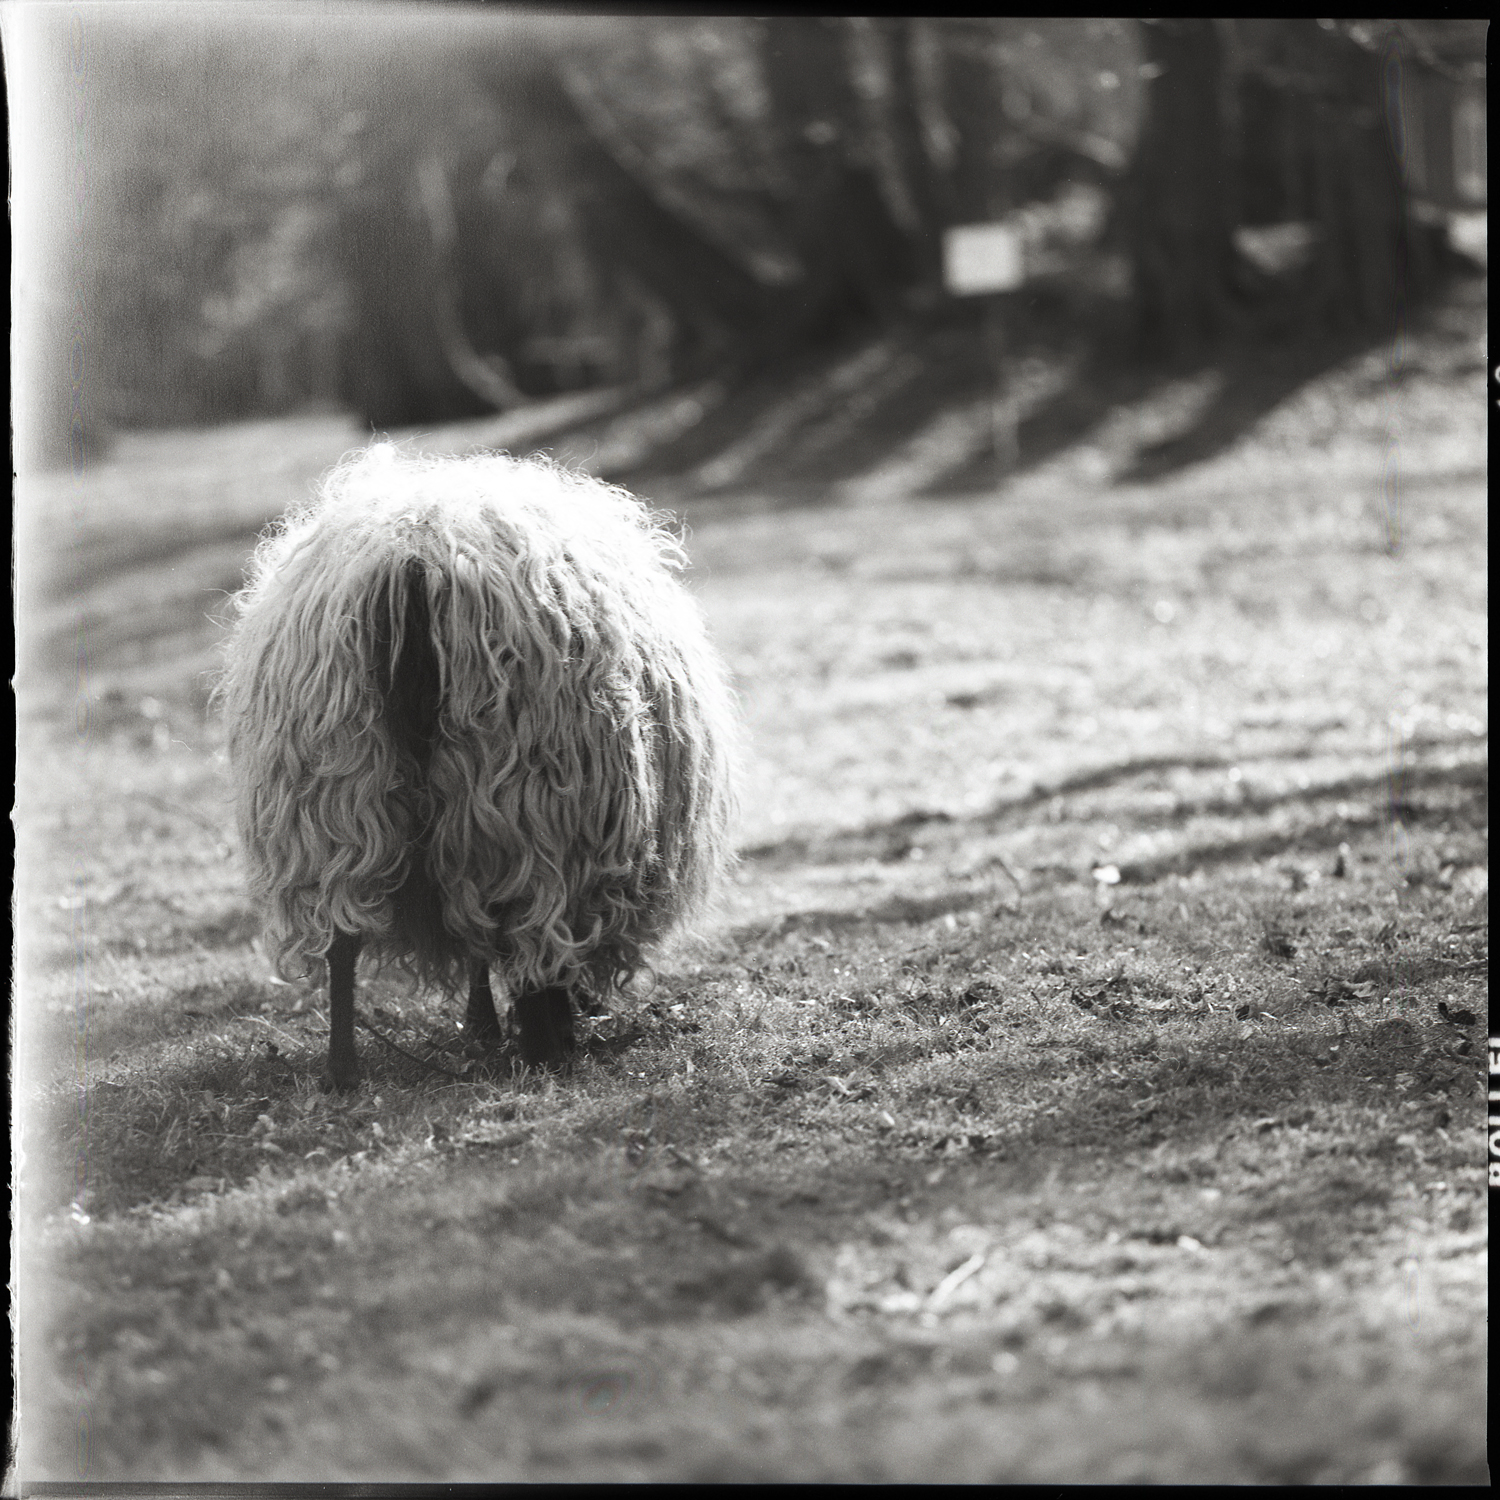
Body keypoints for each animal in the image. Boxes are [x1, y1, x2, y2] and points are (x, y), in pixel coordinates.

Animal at [218, 444, 737, 1090]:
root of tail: (413, 565)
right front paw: (522, 1029)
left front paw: (483, 1027)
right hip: (521, 796)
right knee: (526, 928)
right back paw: (546, 1050)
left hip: (332, 799)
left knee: (344, 940)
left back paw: (343, 1074)